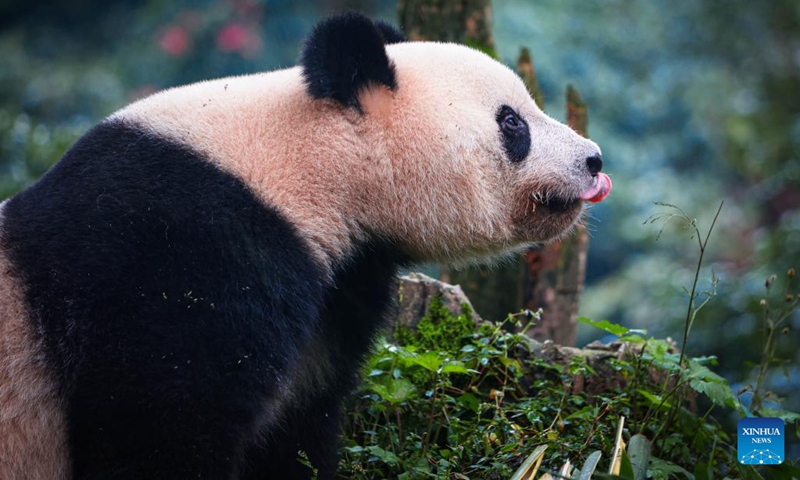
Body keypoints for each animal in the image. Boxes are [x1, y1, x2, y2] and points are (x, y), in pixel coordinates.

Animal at [0, 11, 612, 480]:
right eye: (512, 123)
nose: (593, 160)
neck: (314, 163)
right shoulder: (176, 249)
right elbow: (159, 418)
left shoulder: (339, 286)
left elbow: (298, 420)